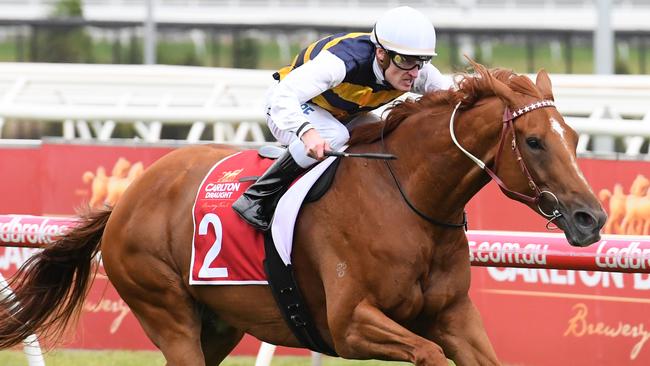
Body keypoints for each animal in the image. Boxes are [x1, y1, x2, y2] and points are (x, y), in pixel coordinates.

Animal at [0, 61, 604, 364]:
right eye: (533, 141)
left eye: (574, 138)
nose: (590, 220)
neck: (409, 201)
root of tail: (127, 197)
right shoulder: (351, 324)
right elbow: (428, 355)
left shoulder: (455, 316)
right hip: (165, 310)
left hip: (218, 326)